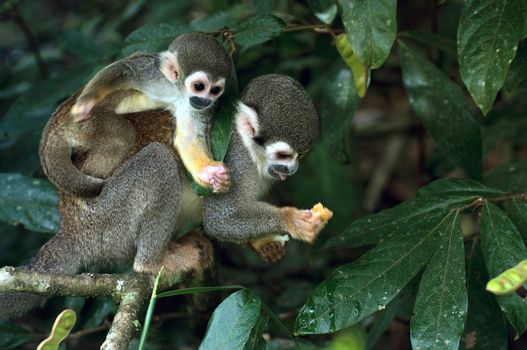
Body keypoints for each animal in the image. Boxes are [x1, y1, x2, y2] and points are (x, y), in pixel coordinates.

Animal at [42, 33, 236, 197]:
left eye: (215, 90)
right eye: (199, 86)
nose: (205, 101)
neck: (178, 91)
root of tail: (55, 129)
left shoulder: (193, 107)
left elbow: (188, 138)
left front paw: (210, 174)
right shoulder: (155, 75)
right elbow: (126, 69)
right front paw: (87, 101)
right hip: (85, 126)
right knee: (123, 136)